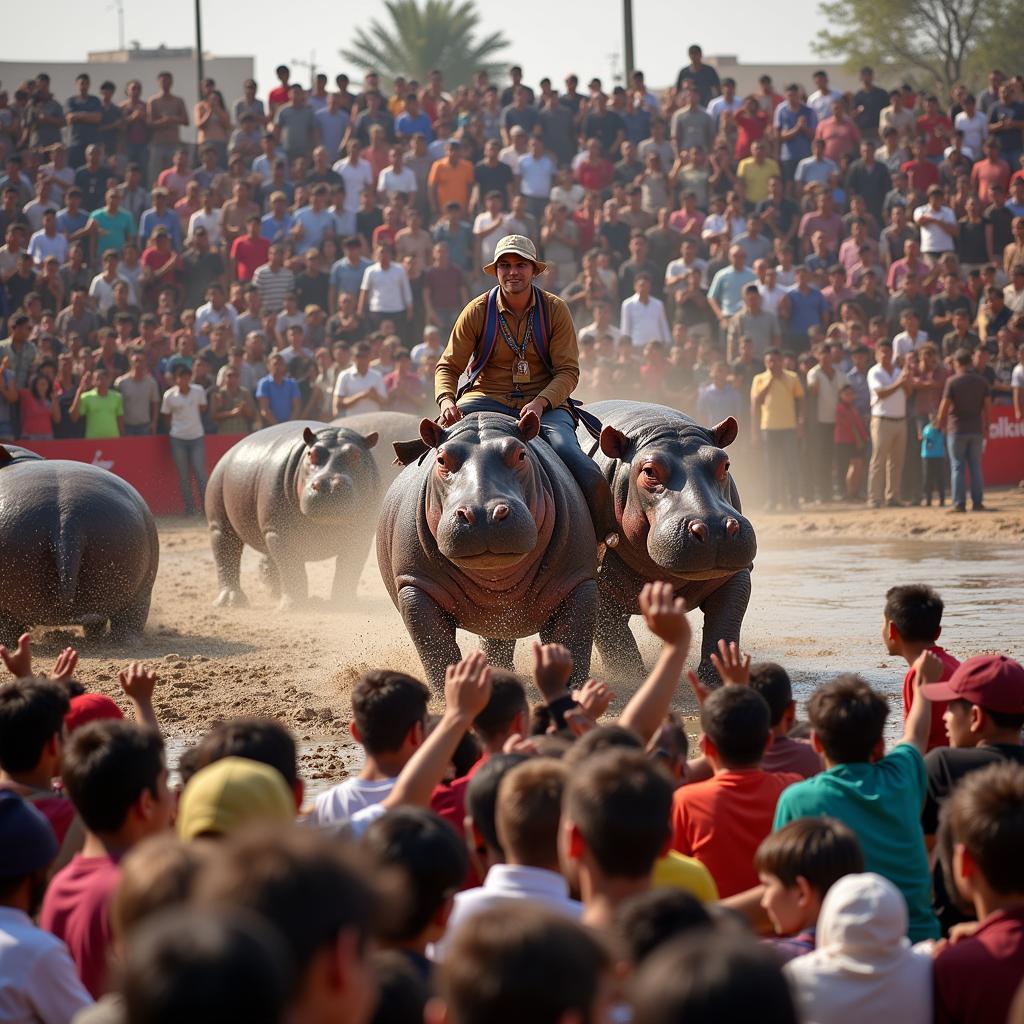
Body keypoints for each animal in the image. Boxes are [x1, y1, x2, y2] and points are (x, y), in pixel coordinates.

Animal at [205, 417, 382, 606]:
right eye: (311, 454)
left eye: (356, 455)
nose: (328, 484)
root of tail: (230, 451)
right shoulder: (278, 531)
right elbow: (291, 567)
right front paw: (293, 606)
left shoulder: (362, 533)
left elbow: (349, 567)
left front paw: (343, 602)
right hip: (219, 518)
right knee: (226, 551)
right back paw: (231, 601)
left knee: (268, 558)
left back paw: (274, 594)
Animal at [376, 409, 598, 688]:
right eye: (441, 459)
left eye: (521, 454)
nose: (483, 512)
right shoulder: (414, 584)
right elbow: (436, 649)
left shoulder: (579, 581)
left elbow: (574, 643)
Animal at [581, 403, 757, 684]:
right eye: (649, 471)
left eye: (725, 463)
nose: (715, 528)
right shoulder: (598, 590)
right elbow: (618, 645)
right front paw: (634, 679)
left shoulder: (735, 575)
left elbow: (724, 626)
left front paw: (716, 679)